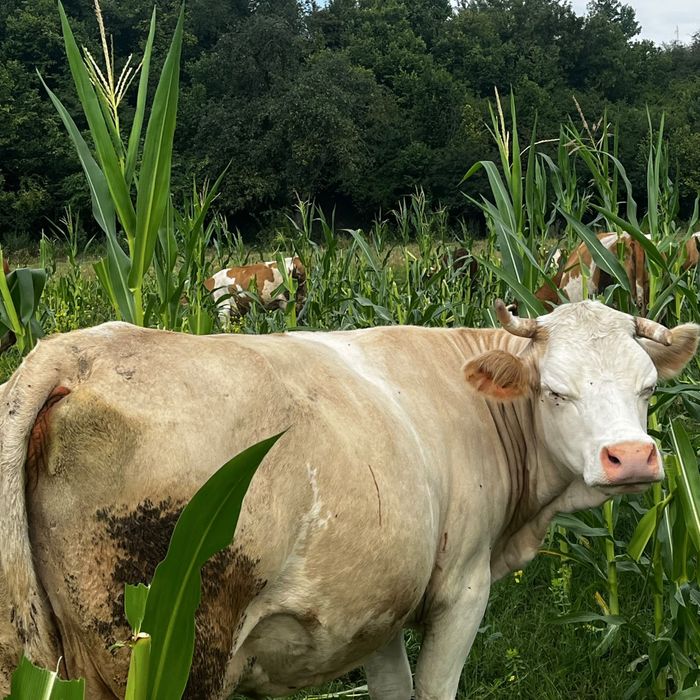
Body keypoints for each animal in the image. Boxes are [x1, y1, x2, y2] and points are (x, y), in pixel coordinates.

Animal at [0, 301, 697, 699]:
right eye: (555, 391)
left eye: (646, 386)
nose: (632, 456)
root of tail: (77, 352)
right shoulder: (462, 587)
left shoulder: (374, 602)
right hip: (176, 646)